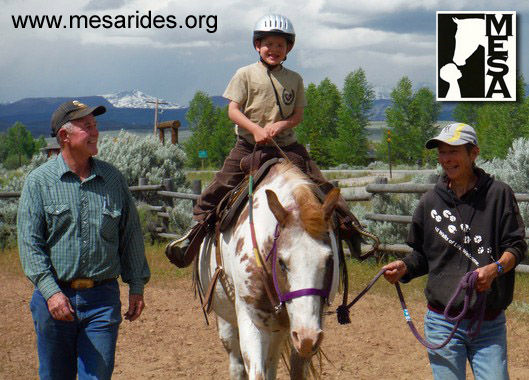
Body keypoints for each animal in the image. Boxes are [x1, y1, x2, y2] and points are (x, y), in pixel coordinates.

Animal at [197, 161, 338, 380]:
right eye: (281, 262)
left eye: (330, 259)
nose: (307, 338)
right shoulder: (251, 322)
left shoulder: (310, 324)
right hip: (227, 321)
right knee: (236, 365)